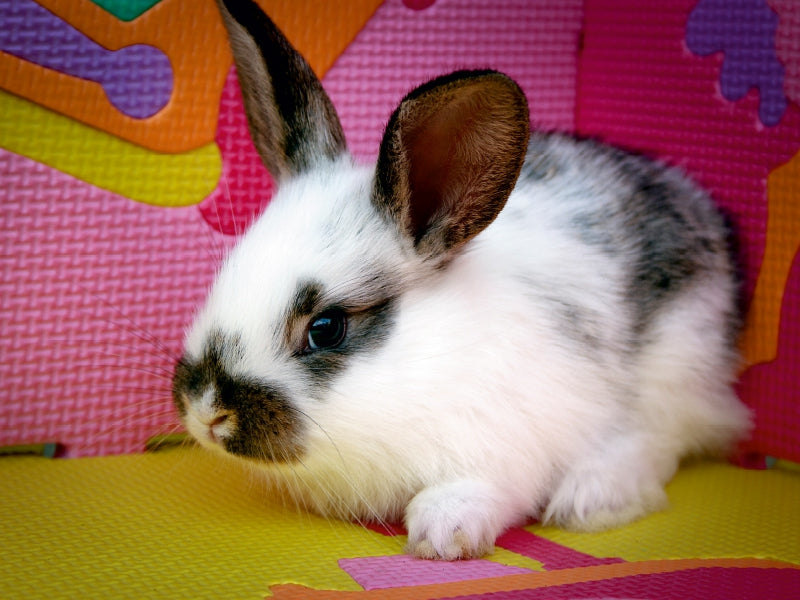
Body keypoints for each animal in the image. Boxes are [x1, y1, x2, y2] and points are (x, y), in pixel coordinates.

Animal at [172, 0, 752, 560]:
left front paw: (441, 536)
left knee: (660, 440)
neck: (430, 360)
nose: (207, 410)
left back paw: (593, 499)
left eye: (327, 328)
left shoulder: (506, 451)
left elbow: (475, 491)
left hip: (675, 362)